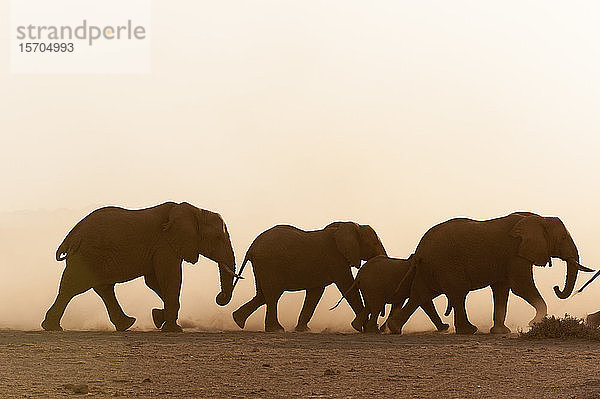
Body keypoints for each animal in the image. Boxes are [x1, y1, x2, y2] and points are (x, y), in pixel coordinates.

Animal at [39, 202, 236, 332]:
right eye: (218, 238)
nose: (219, 297)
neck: (196, 211)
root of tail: (71, 235)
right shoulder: (165, 245)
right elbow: (170, 278)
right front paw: (173, 329)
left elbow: (154, 281)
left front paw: (159, 317)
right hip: (88, 254)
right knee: (71, 288)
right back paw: (52, 328)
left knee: (103, 289)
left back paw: (126, 324)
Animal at [386, 211, 592, 336]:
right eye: (563, 237)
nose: (556, 287)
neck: (539, 218)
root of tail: (419, 249)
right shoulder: (515, 253)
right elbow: (520, 287)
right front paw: (534, 323)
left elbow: (502, 290)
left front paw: (501, 332)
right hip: (446, 265)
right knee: (457, 294)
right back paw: (469, 330)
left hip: (430, 267)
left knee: (421, 295)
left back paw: (396, 329)